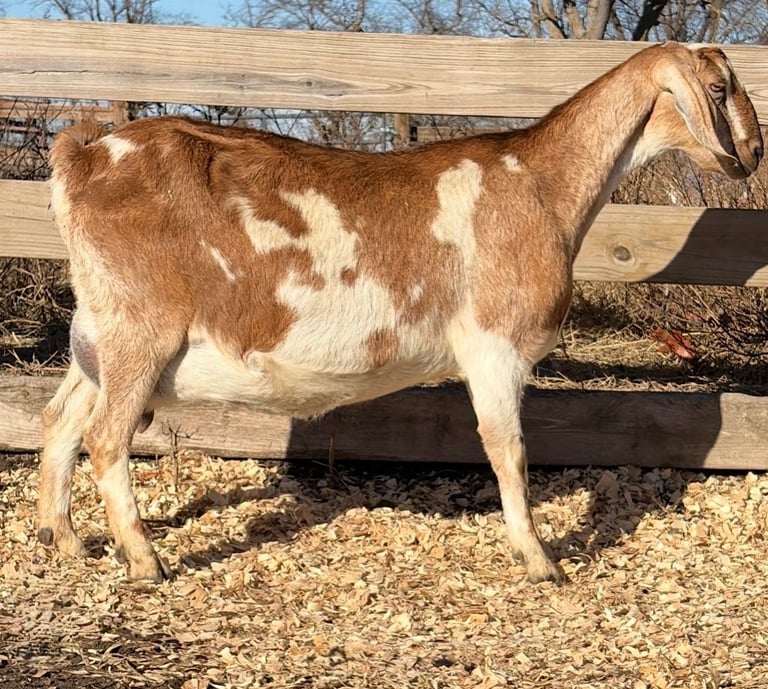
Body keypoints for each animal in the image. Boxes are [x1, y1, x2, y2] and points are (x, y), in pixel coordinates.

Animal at [38, 42, 762, 583]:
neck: (540, 181)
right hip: (141, 328)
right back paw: (144, 561)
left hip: (99, 331)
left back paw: (65, 539)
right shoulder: (494, 344)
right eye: (719, 88)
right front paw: (540, 560)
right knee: (106, 436)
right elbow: (508, 450)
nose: (754, 153)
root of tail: (85, 154)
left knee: (61, 419)